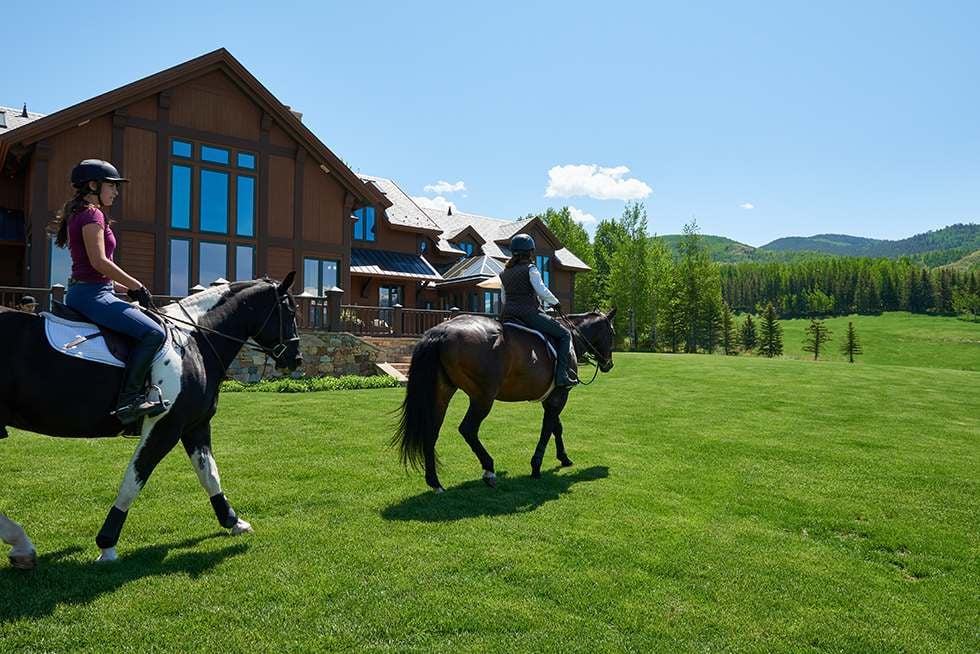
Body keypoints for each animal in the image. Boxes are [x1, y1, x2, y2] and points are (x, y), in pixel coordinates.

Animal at [0, 274, 302, 568]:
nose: (296, 358)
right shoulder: (165, 427)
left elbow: (209, 475)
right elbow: (134, 479)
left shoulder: (195, 426)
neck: (194, 341)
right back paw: (21, 542)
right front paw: (107, 545)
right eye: (290, 310)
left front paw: (233, 521)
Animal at [390, 312, 612, 492]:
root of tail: (442, 331)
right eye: (612, 331)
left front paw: (563, 458)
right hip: (482, 398)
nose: (608, 364)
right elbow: (548, 429)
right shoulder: (559, 396)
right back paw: (489, 469)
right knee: (468, 429)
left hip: (442, 394)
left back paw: (435, 482)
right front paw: (536, 466)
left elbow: (556, 427)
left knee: (431, 433)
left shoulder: (551, 398)